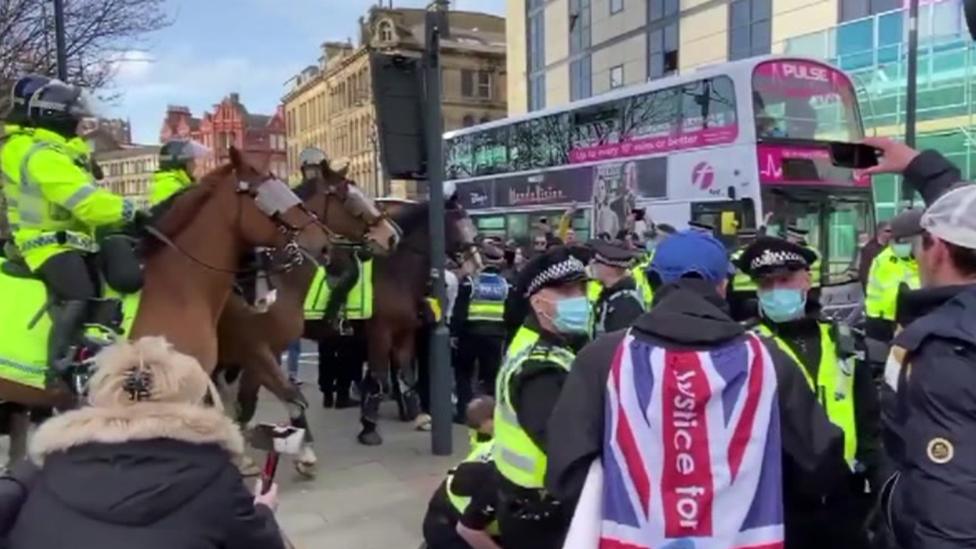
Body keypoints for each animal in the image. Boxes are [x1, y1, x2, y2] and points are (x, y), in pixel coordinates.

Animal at [215, 161, 398, 474]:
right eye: (348, 198)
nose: (391, 235)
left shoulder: (264, 352)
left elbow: (262, 398)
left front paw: (300, 449)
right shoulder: (253, 349)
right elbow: (278, 395)